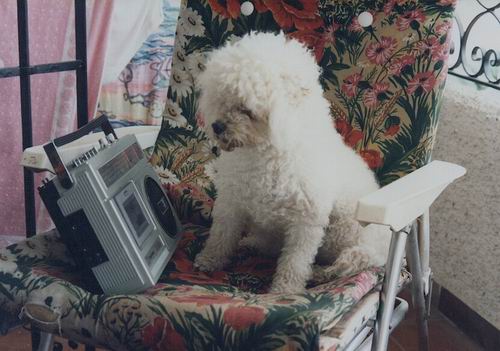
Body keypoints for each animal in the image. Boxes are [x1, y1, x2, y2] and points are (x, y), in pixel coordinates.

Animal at [192, 32, 390, 294]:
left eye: (246, 109)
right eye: (222, 99)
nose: (217, 126)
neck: (264, 151)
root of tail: (384, 248)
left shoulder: (306, 221)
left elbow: (295, 261)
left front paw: (284, 291)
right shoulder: (232, 202)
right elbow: (221, 236)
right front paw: (210, 259)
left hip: (343, 231)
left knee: (353, 261)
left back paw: (321, 273)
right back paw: (253, 244)